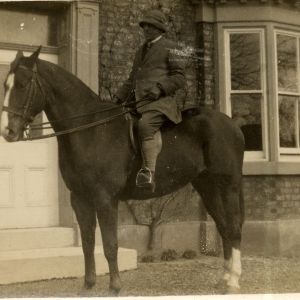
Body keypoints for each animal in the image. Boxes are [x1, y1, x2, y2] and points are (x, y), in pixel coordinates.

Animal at [0, 48, 244, 294]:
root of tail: (232, 124)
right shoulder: (79, 198)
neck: (91, 130)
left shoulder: (105, 198)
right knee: (223, 226)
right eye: (5, 84)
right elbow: (88, 243)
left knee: (233, 226)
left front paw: (114, 287)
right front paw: (88, 285)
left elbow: (110, 244)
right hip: (207, 186)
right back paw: (224, 278)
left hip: (228, 185)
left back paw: (234, 279)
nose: (7, 131)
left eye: (22, 83)